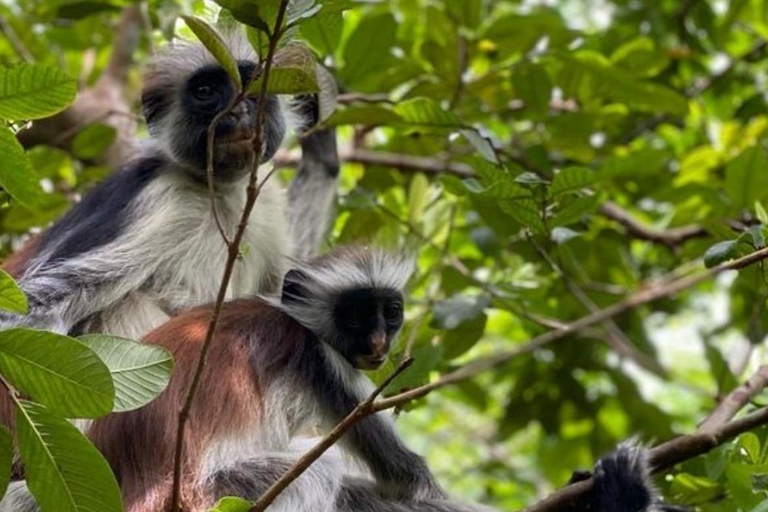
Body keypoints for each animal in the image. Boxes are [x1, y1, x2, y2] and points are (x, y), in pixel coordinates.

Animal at [0, 31, 336, 344]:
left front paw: (322, 146)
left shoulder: (265, 203)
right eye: (205, 91)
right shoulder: (157, 197)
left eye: (252, 84)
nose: (238, 111)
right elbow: (30, 308)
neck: (220, 193)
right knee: (127, 302)